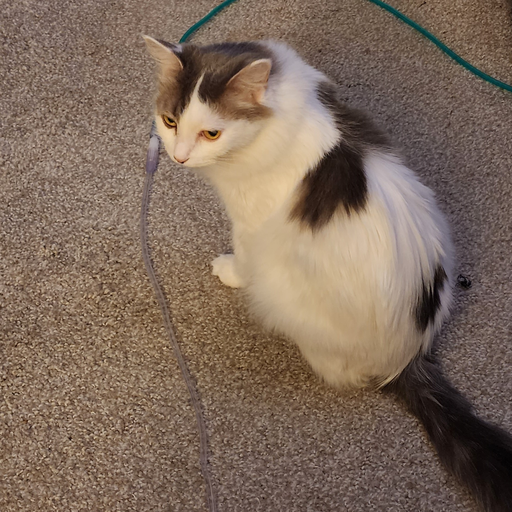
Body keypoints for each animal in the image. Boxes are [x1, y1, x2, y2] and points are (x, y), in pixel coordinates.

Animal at [144, 37, 512, 512]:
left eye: (212, 133)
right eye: (170, 121)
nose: (179, 156)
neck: (279, 113)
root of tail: (409, 356)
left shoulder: (250, 222)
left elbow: (242, 254)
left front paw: (230, 272)